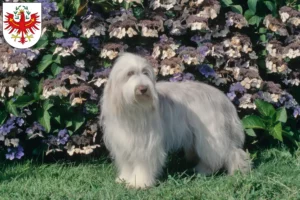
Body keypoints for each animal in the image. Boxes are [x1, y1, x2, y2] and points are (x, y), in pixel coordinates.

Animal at [100, 52, 251, 188]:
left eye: (145, 73)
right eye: (130, 74)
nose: (143, 88)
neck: (134, 108)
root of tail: (223, 98)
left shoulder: (146, 144)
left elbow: (143, 164)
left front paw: (139, 183)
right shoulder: (123, 144)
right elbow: (126, 164)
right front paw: (124, 179)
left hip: (213, 135)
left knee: (230, 153)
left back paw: (235, 171)